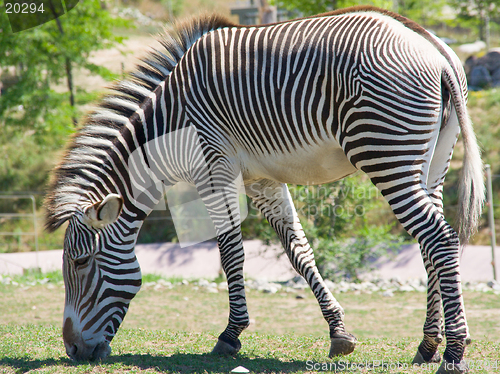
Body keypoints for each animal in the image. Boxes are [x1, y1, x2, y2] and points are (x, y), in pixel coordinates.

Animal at [44, 6, 484, 374]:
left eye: (80, 264)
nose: (72, 351)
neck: (171, 121)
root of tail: (433, 49)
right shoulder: (260, 179)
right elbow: (298, 250)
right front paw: (339, 332)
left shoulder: (213, 165)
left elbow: (230, 253)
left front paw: (229, 337)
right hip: (433, 160)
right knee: (430, 243)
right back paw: (427, 345)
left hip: (385, 152)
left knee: (439, 238)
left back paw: (454, 352)